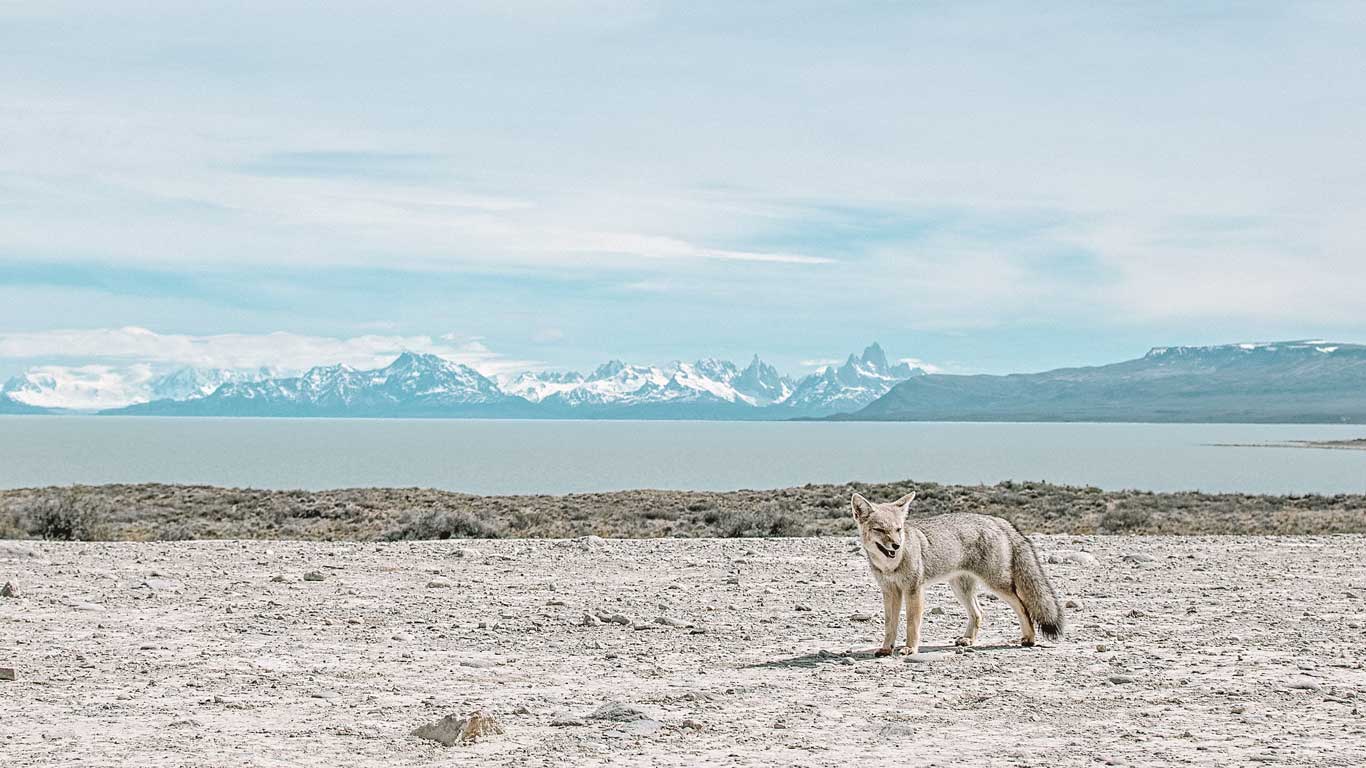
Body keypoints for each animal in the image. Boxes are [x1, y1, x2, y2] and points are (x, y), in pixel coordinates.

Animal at [852, 489, 1065, 650]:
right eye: (880, 530)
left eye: (898, 529)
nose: (896, 546)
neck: (890, 566)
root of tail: (996, 519)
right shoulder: (890, 591)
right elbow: (890, 625)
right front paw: (886, 649)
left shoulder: (913, 590)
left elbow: (912, 624)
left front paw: (910, 649)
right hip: (960, 589)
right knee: (978, 612)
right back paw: (969, 639)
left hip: (997, 585)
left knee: (1023, 607)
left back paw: (1029, 639)